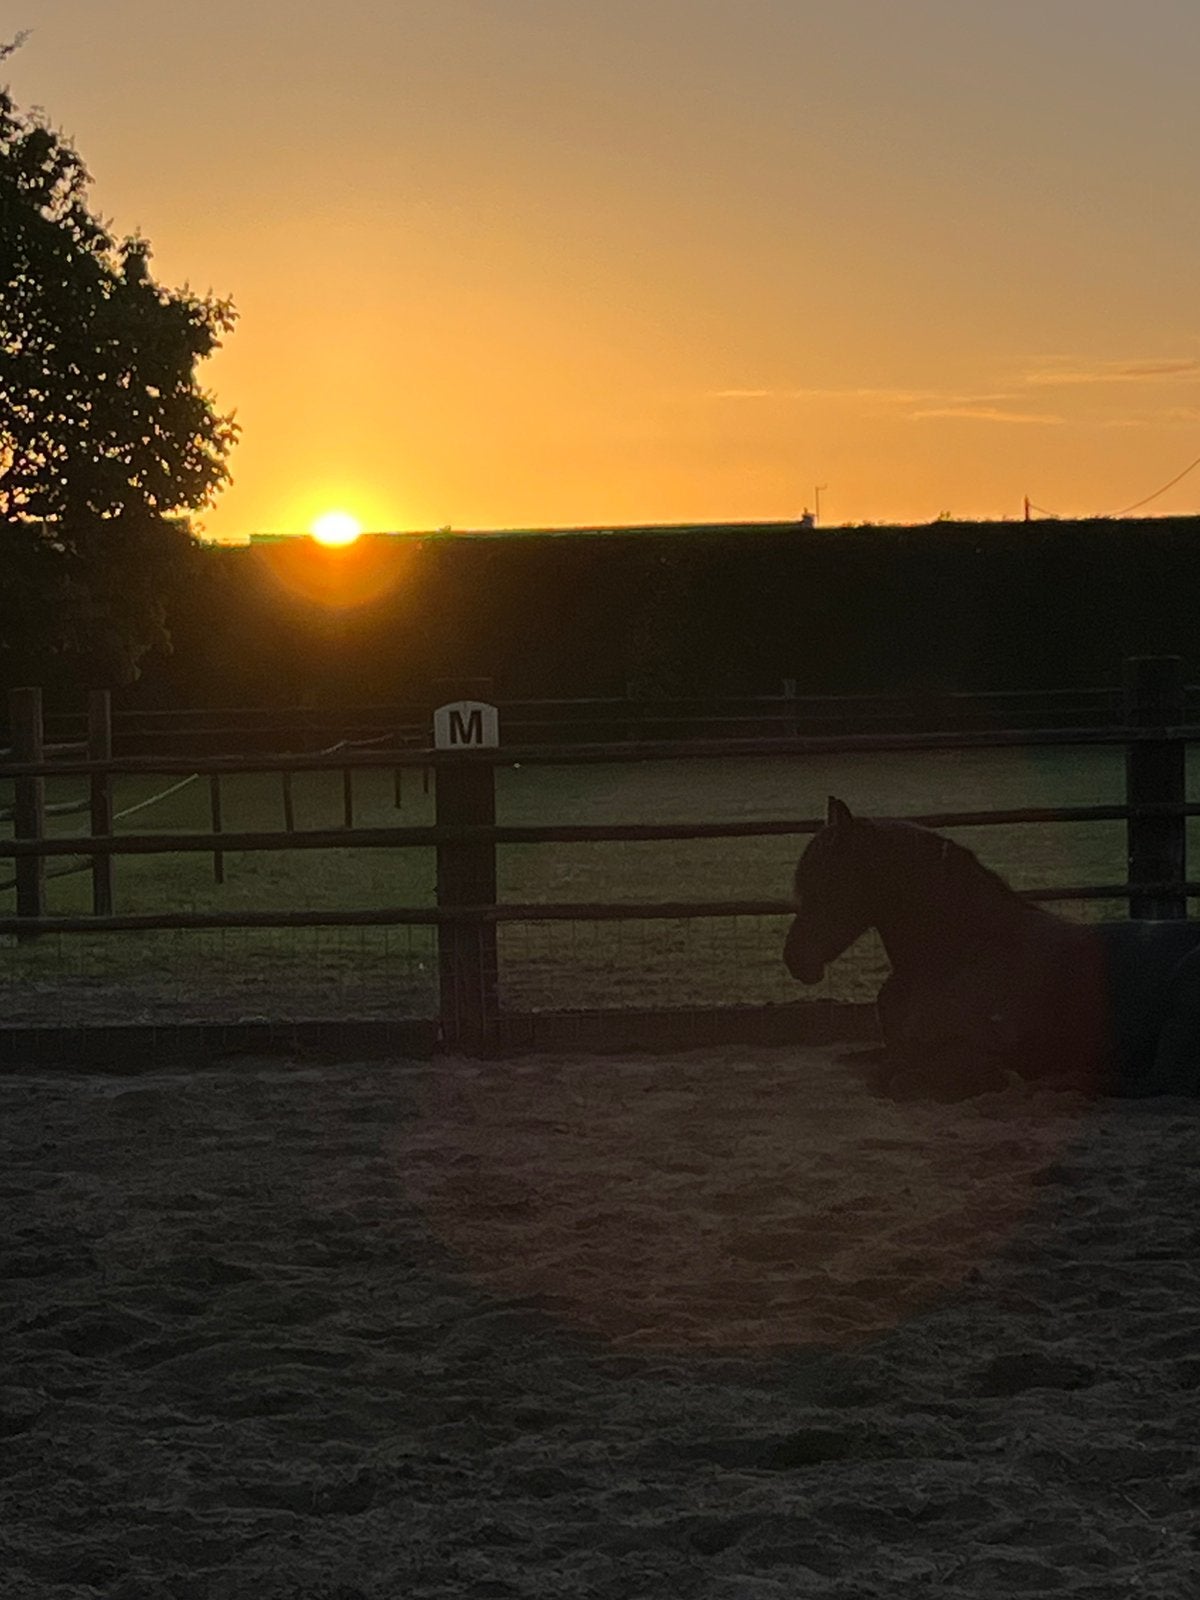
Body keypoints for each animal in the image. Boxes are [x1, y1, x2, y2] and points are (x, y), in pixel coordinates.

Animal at [783, 797, 1200, 1100]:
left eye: (829, 881)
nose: (795, 961)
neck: (959, 956)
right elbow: (871, 1070)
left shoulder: (975, 1049)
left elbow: (900, 1082)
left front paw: (1001, 1078)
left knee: (1158, 1081)